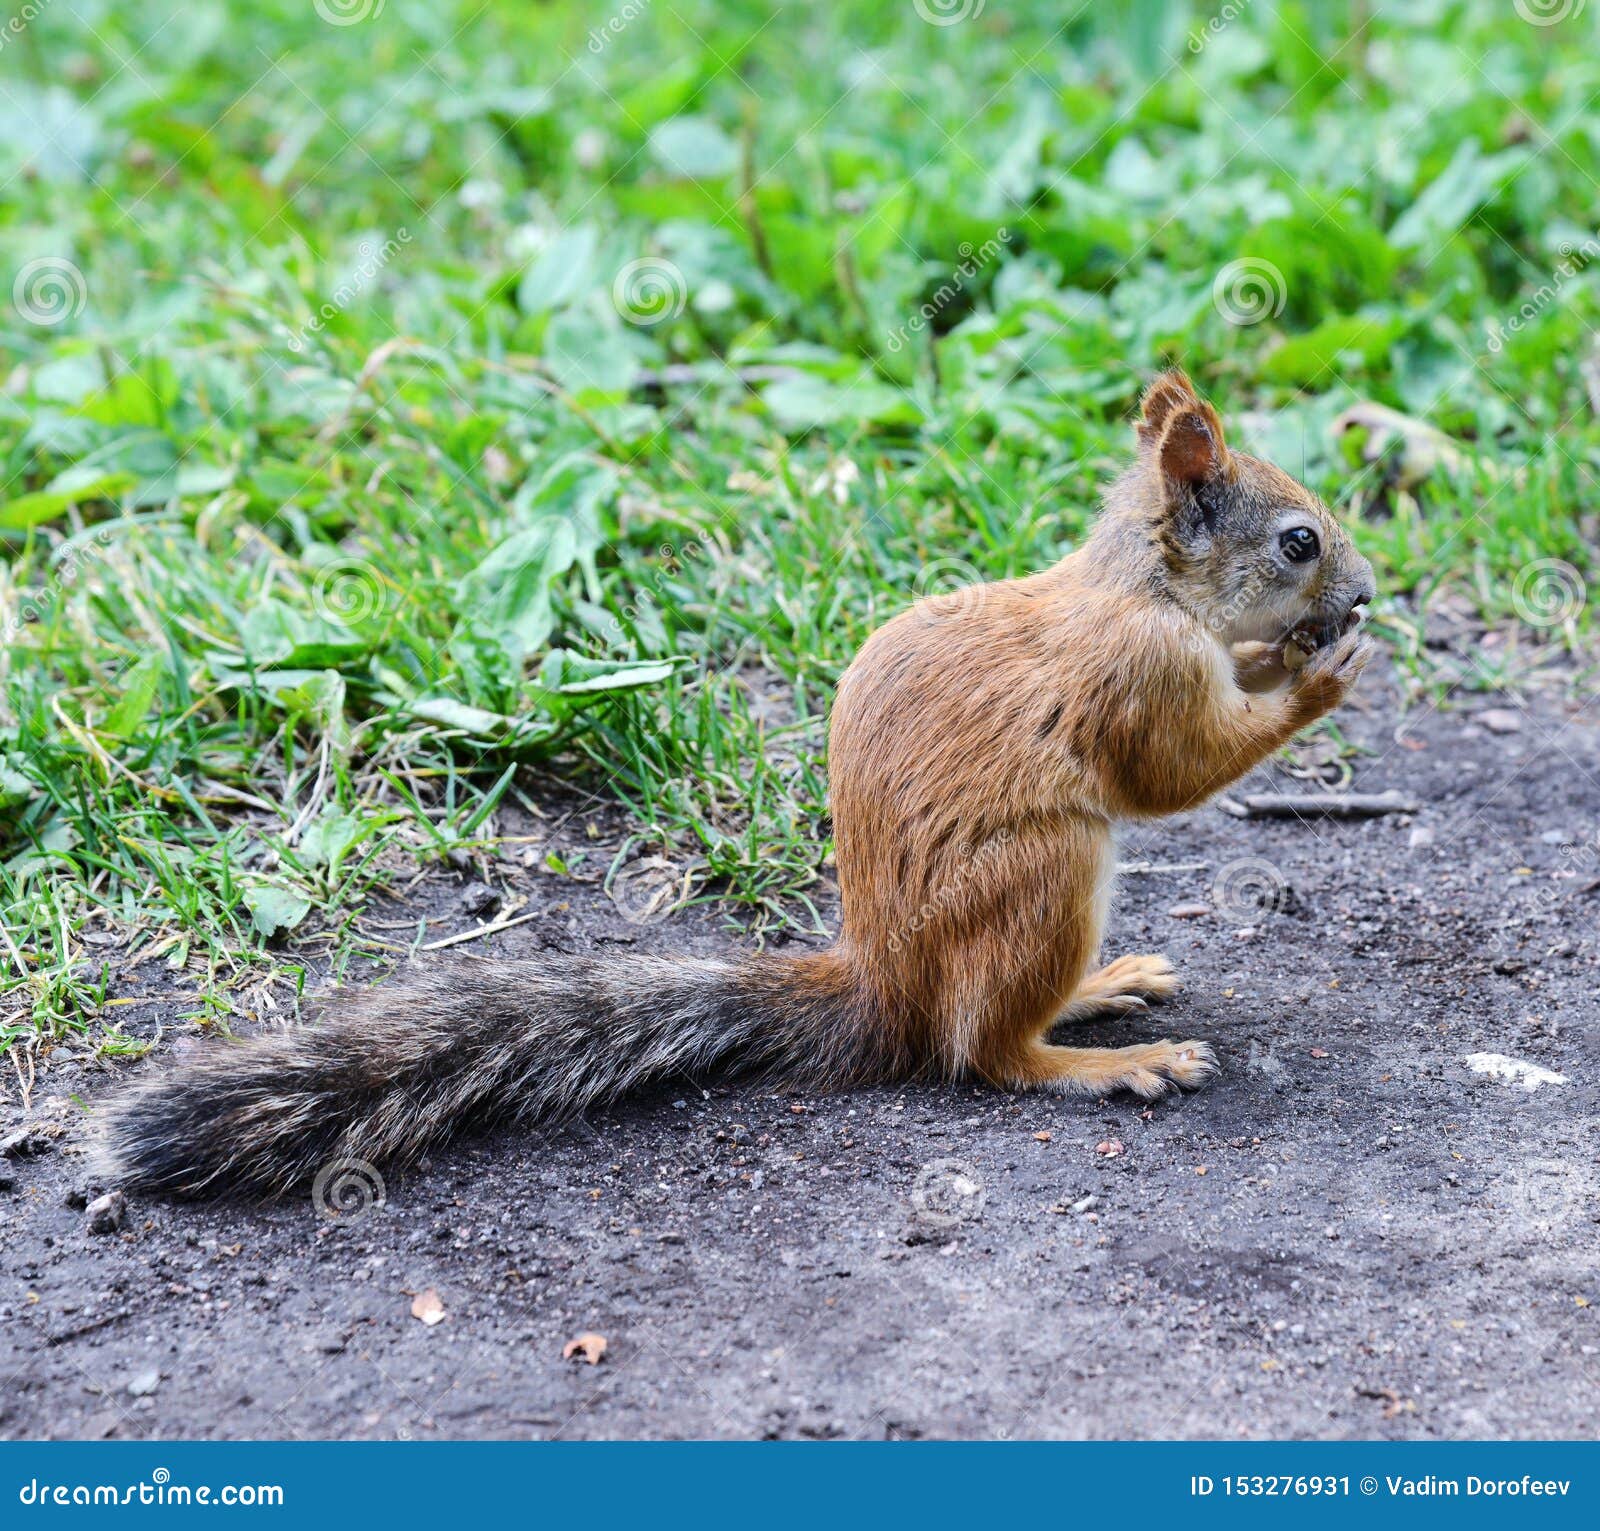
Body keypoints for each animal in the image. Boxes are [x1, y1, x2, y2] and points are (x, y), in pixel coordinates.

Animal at [100, 371, 1376, 1195]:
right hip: (1044, 873)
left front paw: (1287, 659)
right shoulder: (1137, 676)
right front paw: (1317, 679)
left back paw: (1102, 989)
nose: (1364, 594)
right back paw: (1103, 1063)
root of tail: (882, 985)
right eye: (1298, 541)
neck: (1146, 588)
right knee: (983, 1052)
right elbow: (1170, 771)